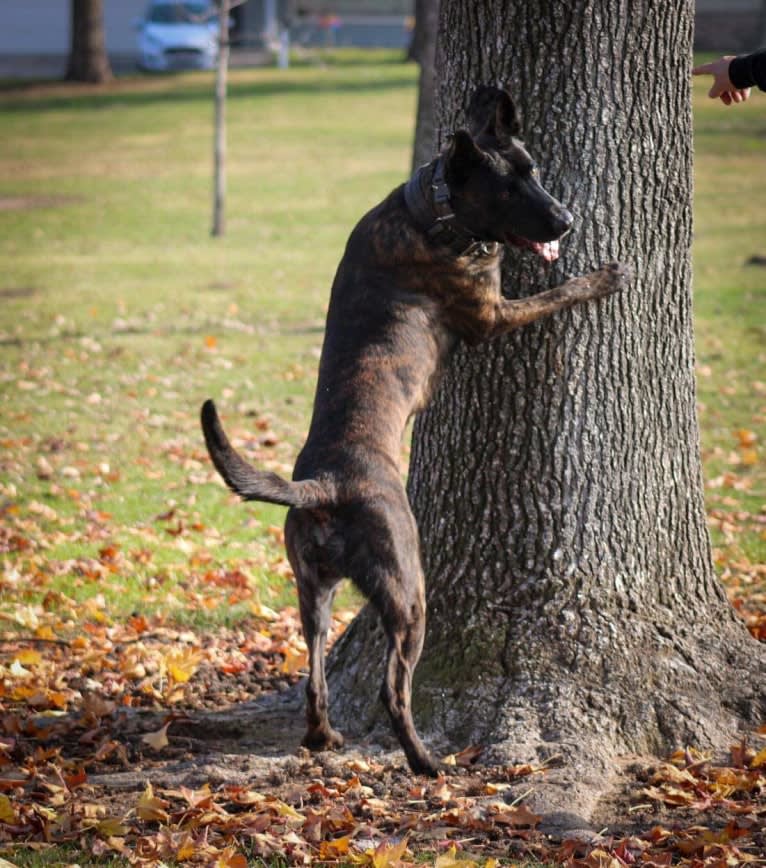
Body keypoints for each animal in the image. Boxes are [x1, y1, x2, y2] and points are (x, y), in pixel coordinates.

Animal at [204, 86, 632, 772]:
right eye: (509, 186)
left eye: (534, 170)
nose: (566, 221)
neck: (434, 210)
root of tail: (325, 485)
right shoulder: (492, 314)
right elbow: (559, 293)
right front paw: (605, 278)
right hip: (409, 588)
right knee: (391, 688)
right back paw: (425, 763)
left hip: (312, 589)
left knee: (314, 673)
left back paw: (325, 738)